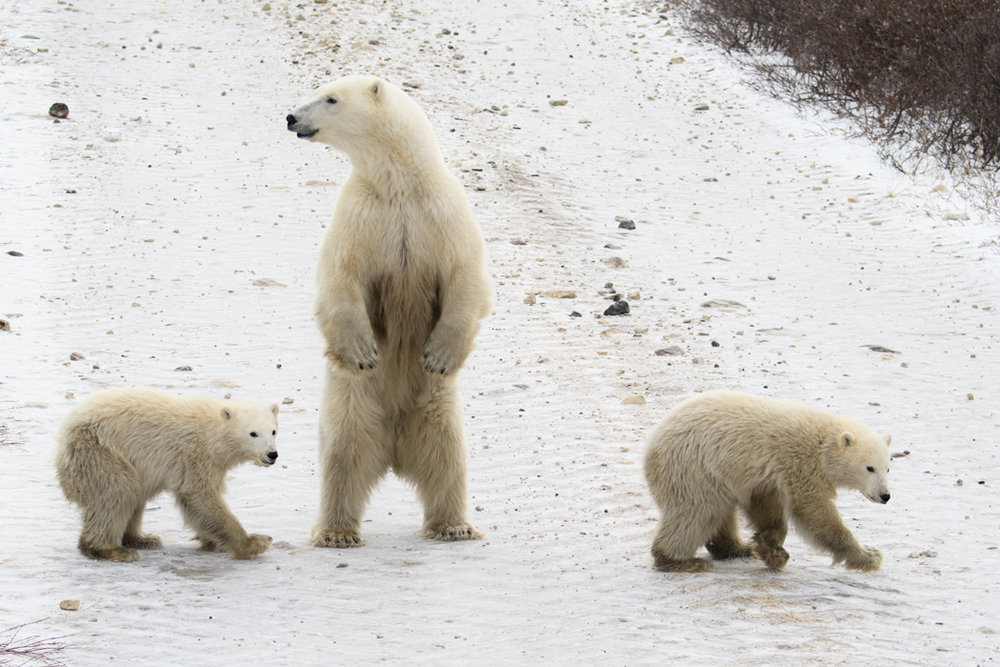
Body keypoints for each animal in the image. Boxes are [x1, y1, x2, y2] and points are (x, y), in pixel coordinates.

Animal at [56, 388, 279, 562]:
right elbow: (199, 495)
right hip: (99, 451)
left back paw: (143, 539)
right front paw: (254, 542)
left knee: (135, 495)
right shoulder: (195, 455)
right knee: (119, 491)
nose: (272, 455)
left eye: (273, 431)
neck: (213, 434)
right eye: (253, 433)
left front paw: (216, 542)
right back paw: (112, 550)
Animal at [285, 75, 492, 547]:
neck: (400, 184)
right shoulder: (360, 215)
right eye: (320, 91)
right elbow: (341, 278)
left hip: (436, 405)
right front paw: (363, 353)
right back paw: (337, 532)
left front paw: (439, 356)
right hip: (352, 403)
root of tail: (395, 449)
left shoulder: (442, 213)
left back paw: (453, 525)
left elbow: (465, 277)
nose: (290, 117)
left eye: (330, 98)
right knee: (343, 459)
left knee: (447, 457)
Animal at [643, 390, 892, 573]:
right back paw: (681, 560)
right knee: (697, 513)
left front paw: (771, 548)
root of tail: (652, 443)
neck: (823, 446)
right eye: (870, 468)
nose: (885, 496)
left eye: (888, 468)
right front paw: (869, 555)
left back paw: (737, 547)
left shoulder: (764, 478)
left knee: (720, 512)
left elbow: (765, 505)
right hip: (694, 468)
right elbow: (815, 511)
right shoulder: (800, 464)